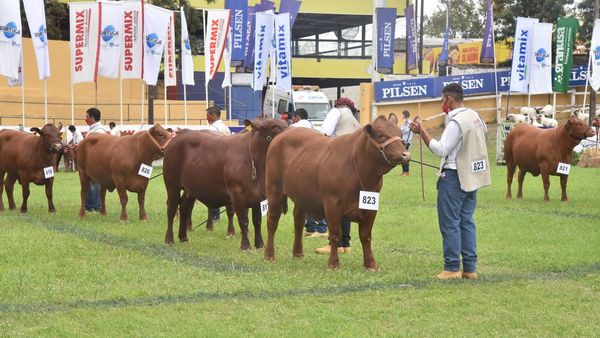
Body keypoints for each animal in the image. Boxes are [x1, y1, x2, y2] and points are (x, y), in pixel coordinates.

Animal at [163, 117, 288, 250]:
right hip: (172, 184)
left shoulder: (257, 196)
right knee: (172, 208)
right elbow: (243, 220)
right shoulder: (237, 194)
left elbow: (257, 220)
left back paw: (183, 238)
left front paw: (260, 245)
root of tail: (179, 135)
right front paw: (246, 246)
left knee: (185, 207)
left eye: (285, 124)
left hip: (191, 189)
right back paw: (169, 239)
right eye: (274, 127)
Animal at [264, 115, 410, 270]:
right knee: (272, 220)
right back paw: (269, 255)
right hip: (274, 189)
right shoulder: (332, 203)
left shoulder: (371, 208)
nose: (406, 154)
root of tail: (284, 134)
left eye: (400, 134)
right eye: (381, 135)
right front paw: (333, 264)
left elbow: (366, 236)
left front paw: (371, 264)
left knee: (298, 221)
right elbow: (334, 234)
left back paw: (298, 253)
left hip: (302, 195)